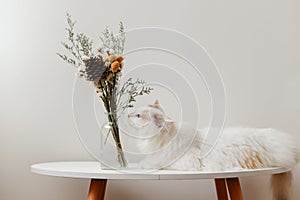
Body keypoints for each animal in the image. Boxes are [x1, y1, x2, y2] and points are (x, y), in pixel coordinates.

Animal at [127, 100, 300, 200]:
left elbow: (154, 162)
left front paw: (144, 164)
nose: (128, 115)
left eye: (138, 115)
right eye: (135, 111)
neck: (165, 138)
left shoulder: (185, 162)